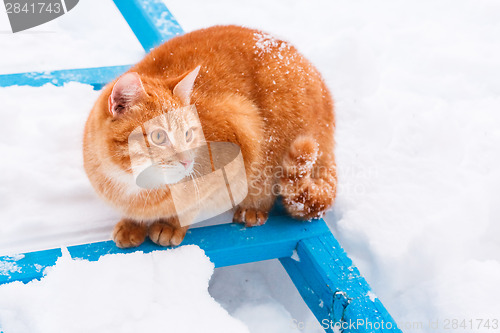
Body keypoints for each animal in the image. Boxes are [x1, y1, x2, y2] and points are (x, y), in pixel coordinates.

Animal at [84, 24, 338, 248]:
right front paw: (132, 225)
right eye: (158, 137)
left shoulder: (242, 132)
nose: (187, 162)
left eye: (188, 133)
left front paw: (171, 224)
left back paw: (252, 209)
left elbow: (191, 205)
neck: (132, 185)